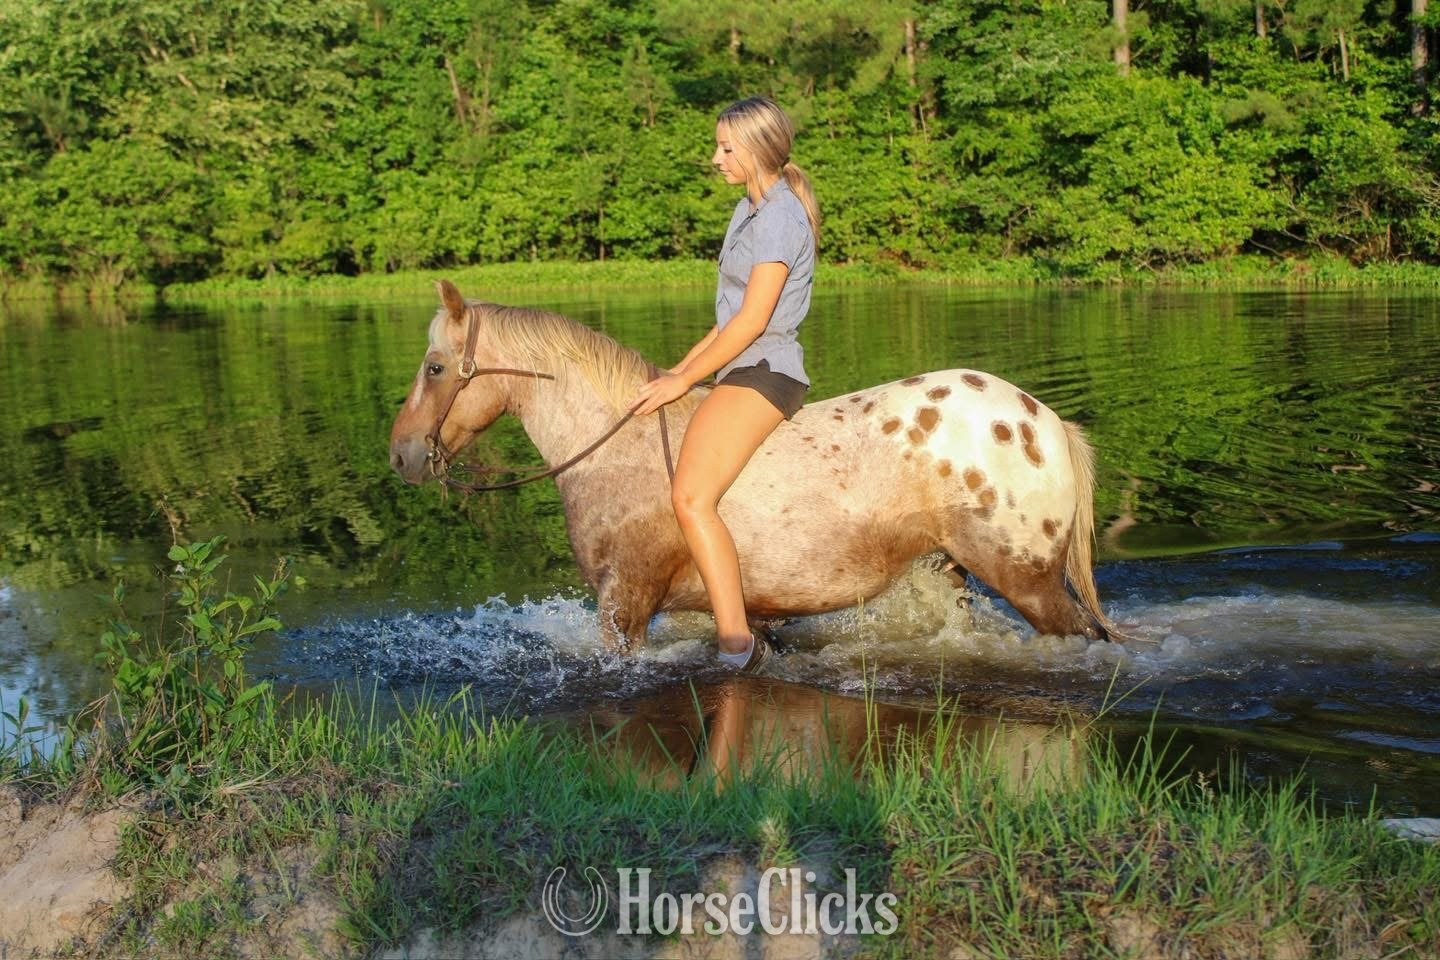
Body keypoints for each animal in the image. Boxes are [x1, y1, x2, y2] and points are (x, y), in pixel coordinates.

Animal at [389, 280, 1113, 652]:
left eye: (435, 368)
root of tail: (1046, 421)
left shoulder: (625, 604)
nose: (401, 453)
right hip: (950, 571)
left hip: (1028, 581)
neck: (612, 445)